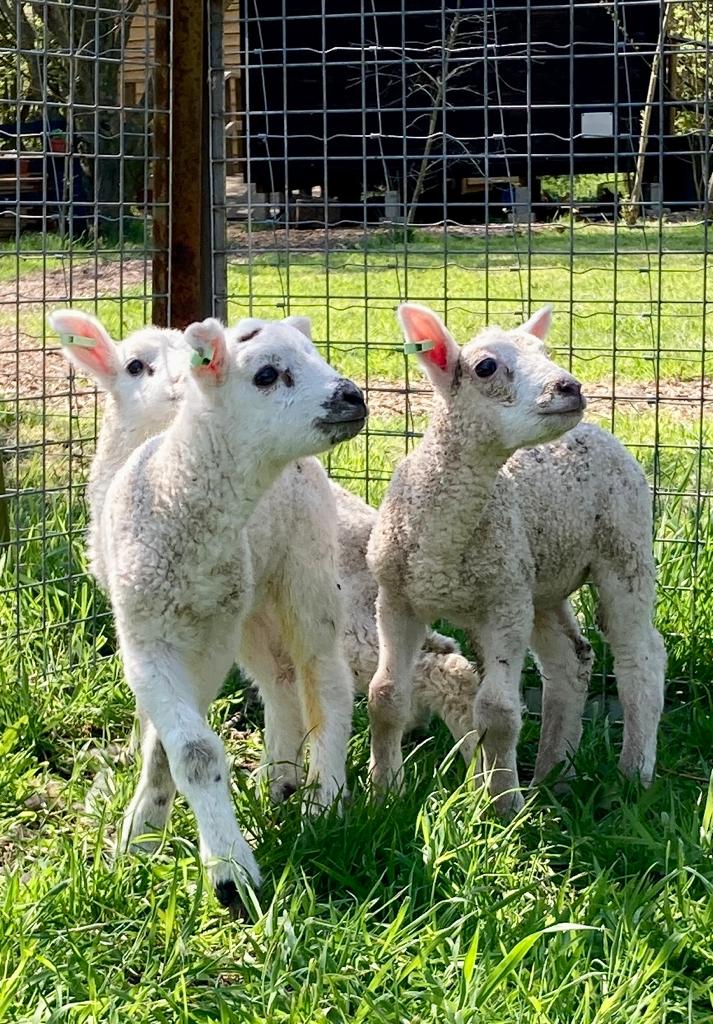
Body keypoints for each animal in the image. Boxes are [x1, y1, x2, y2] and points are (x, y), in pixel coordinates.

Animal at [54, 312, 367, 911]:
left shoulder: (207, 640)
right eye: (267, 374)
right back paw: (280, 778)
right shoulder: (148, 632)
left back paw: (326, 799)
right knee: (280, 677)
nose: (354, 396)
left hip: (305, 573)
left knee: (325, 682)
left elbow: (190, 748)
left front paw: (228, 873)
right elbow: (186, 747)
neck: (174, 497)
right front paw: (142, 834)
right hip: (248, 603)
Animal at [367, 302, 666, 814]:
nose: (570, 387)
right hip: (540, 579)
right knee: (571, 661)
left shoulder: (504, 602)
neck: (442, 547)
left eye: (545, 353)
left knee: (641, 656)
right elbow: (384, 696)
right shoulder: (396, 598)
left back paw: (633, 776)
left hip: (624, 546)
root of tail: (600, 431)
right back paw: (553, 776)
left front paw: (502, 805)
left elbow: (498, 712)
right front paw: (382, 796)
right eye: (485, 367)